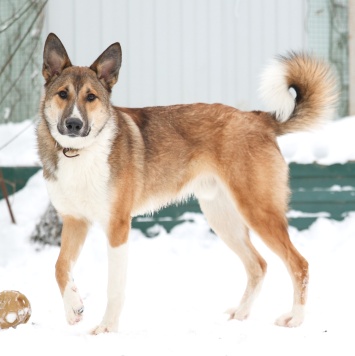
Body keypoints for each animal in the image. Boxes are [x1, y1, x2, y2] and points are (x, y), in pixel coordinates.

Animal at [36, 32, 340, 334]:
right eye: (62, 94)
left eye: (91, 97)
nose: (74, 124)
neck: (80, 152)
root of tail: (258, 118)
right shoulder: (75, 221)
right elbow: (59, 266)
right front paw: (73, 308)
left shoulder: (117, 227)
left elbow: (114, 287)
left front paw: (107, 328)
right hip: (223, 219)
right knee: (258, 265)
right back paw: (241, 313)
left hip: (258, 211)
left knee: (299, 264)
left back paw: (295, 318)